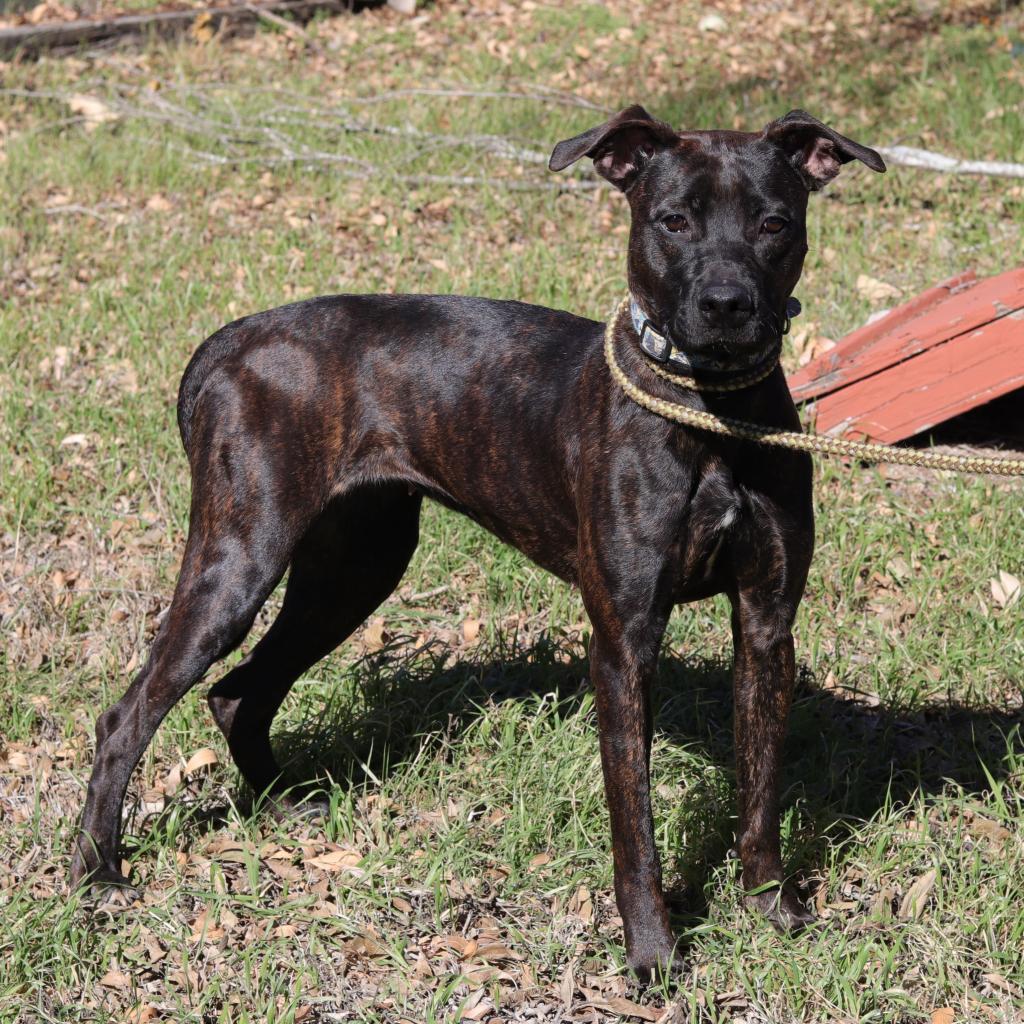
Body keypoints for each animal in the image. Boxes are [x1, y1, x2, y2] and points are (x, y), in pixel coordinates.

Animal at [72, 108, 884, 978]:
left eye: (775, 223)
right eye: (673, 221)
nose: (727, 303)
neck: (711, 414)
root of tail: (227, 343)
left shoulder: (767, 627)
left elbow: (759, 788)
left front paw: (771, 905)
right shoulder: (624, 641)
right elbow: (634, 822)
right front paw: (651, 951)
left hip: (354, 568)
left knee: (237, 691)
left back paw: (282, 803)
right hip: (241, 558)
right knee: (127, 716)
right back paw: (100, 871)